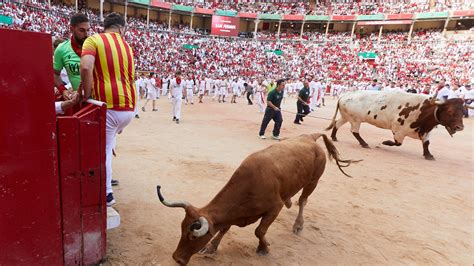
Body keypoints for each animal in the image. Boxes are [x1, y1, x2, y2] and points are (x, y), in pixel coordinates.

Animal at [157, 133, 358, 264]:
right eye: (181, 228)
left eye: (192, 235)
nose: (177, 258)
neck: (248, 186)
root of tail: (310, 137)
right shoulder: (232, 216)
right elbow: (224, 228)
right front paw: (212, 247)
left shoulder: (274, 208)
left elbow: (259, 231)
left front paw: (264, 248)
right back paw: (289, 201)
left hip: (313, 181)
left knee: (303, 201)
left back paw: (298, 225)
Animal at [326, 90, 466, 160]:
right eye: (450, 111)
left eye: (463, 111)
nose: (460, 127)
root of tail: (345, 95)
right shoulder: (398, 130)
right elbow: (398, 143)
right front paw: (385, 142)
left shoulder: (426, 132)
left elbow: (426, 144)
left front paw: (428, 155)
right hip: (355, 119)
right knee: (354, 131)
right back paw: (364, 143)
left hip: (346, 117)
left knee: (337, 124)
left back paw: (334, 137)